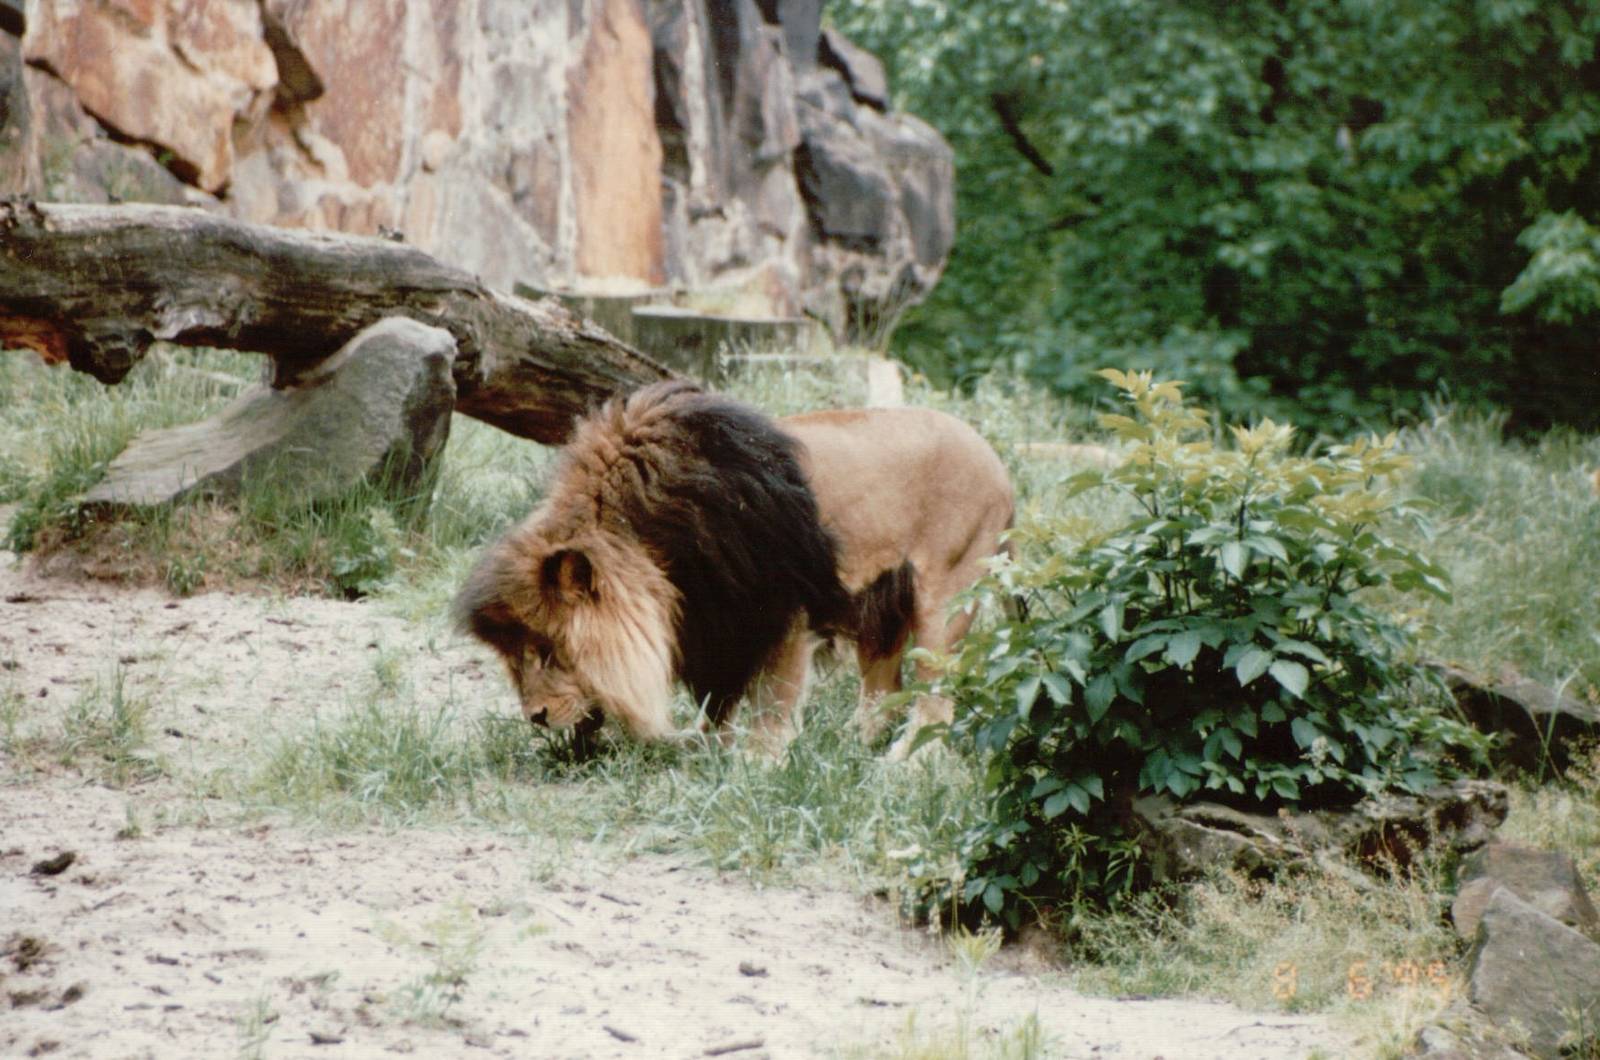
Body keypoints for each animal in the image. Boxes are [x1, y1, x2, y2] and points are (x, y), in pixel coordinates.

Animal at [454, 380, 1014, 755]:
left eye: (548, 652)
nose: (537, 718)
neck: (648, 542)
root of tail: (993, 456)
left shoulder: (781, 609)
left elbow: (773, 700)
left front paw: (758, 763)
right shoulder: (710, 623)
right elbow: (716, 700)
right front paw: (705, 749)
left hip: (946, 597)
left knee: (937, 692)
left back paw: (906, 765)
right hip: (881, 603)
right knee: (884, 686)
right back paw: (856, 743)